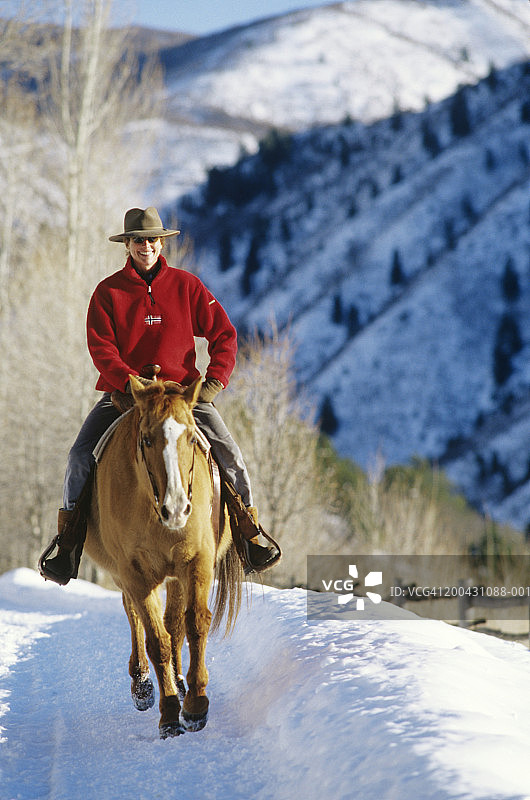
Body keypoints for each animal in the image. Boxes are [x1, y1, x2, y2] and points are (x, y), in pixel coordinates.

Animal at [83, 375, 242, 739]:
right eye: (146, 439)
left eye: (190, 437)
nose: (177, 508)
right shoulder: (135, 574)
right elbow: (157, 641)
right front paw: (170, 716)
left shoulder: (195, 562)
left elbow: (194, 624)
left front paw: (196, 705)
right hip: (128, 575)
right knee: (136, 617)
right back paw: (142, 685)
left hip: (173, 575)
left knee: (175, 623)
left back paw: (181, 684)